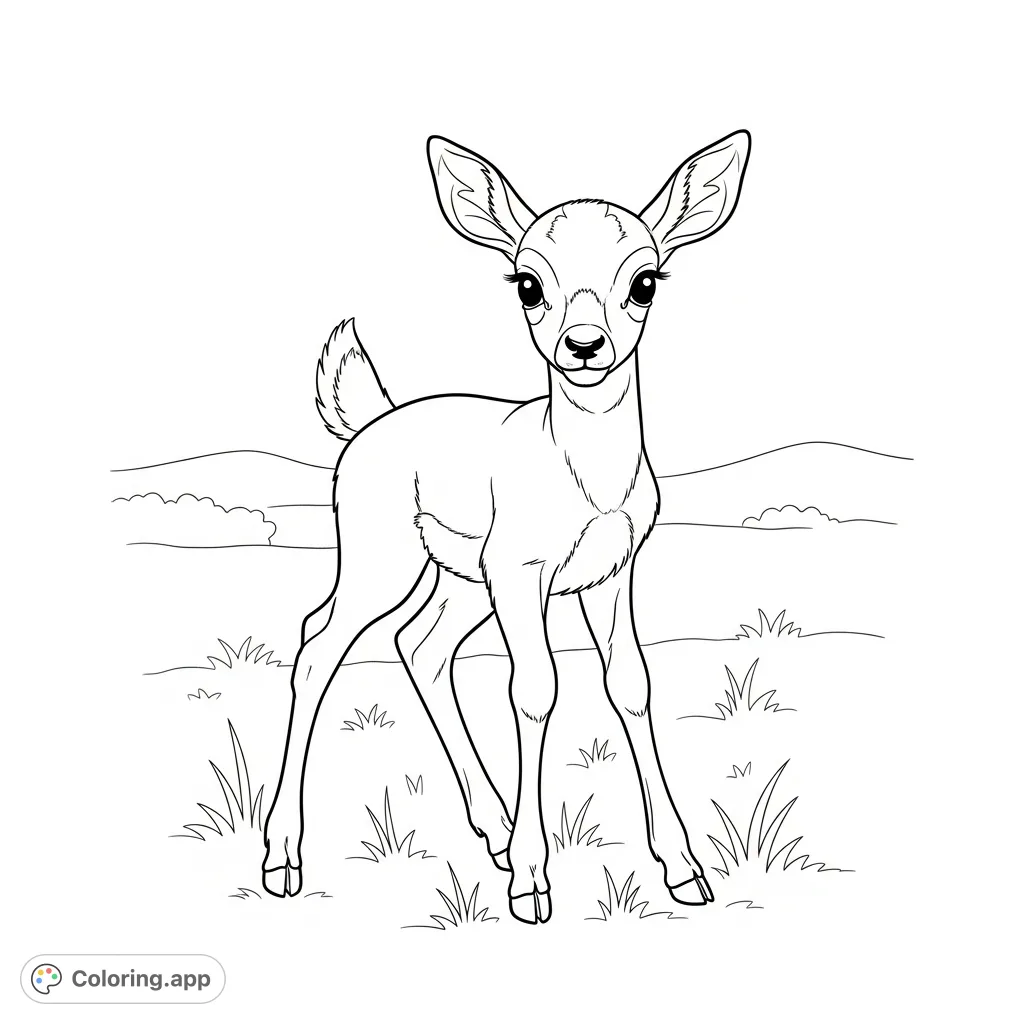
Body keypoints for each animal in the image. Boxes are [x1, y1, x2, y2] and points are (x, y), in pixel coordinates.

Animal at [263, 132, 751, 923]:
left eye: (645, 280)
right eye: (527, 283)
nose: (584, 345)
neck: (586, 481)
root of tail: (370, 421)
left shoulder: (610, 573)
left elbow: (630, 684)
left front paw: (684, 870)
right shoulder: (524, 573)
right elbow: (534, 691)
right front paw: (532, 883)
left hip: (460, 578)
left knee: (419, 646)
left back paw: (490, 831)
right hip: (382, 560)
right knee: (316, 643)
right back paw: (282, 860)